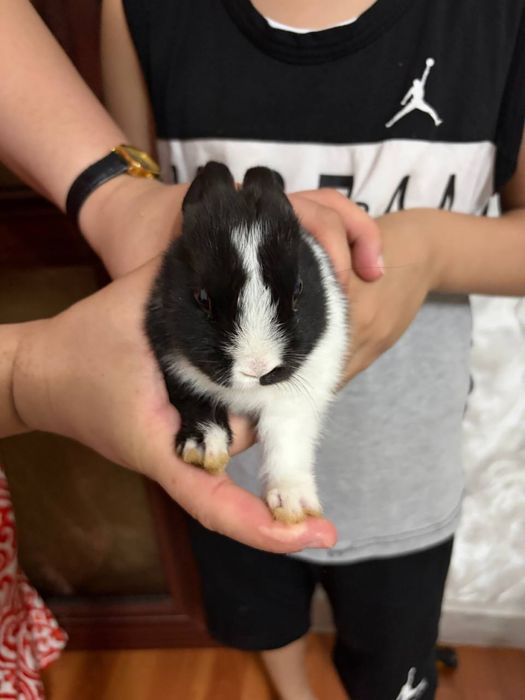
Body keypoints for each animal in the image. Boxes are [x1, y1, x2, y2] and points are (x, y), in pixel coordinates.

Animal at [145, 161, 348, 523]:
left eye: (298, 289)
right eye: (202, 298)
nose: (258, 368)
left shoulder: (296, 399)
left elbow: (287, 441)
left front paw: (293, 505)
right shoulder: (177, 368)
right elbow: (195, 402)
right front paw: (204, 449)